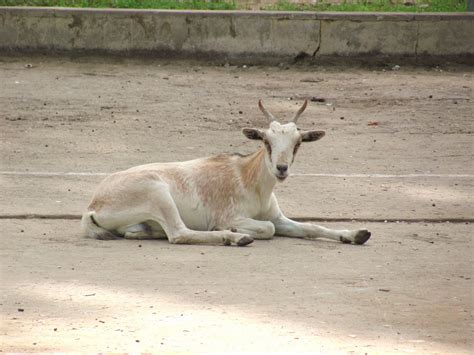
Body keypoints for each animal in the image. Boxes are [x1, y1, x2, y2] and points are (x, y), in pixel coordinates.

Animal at [81, 100, 370, 248]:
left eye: (298, 142)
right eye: (266, 141)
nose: (281, 168)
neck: (250, 180)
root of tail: (93, 206)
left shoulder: (277, 217)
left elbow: (310, 227)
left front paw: (356, 234)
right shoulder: (232, 215)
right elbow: (267, 229)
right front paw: (234, 230)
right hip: (157, 192)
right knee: (178, 234)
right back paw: (236, 238)